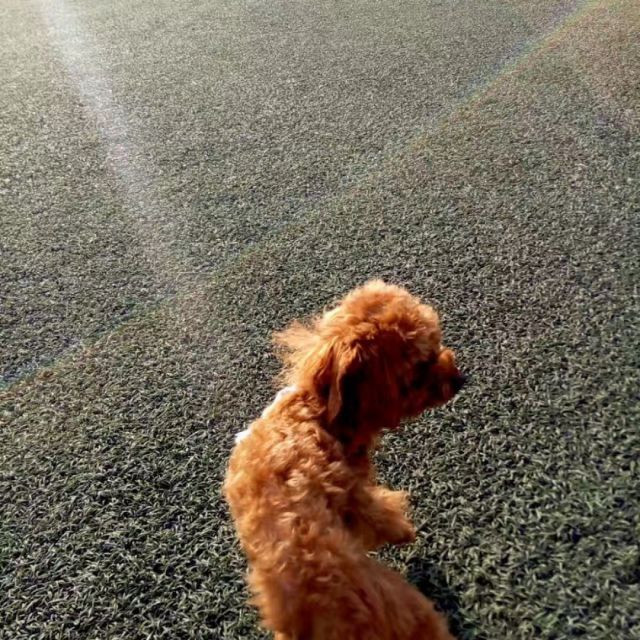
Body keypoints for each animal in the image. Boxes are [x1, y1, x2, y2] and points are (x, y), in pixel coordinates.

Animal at [224, 280, 465, 639]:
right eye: (422, 365)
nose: (460, 378)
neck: (319, 412)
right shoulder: (354, 494)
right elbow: (382, 516)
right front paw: (405, 532)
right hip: (403, 605)